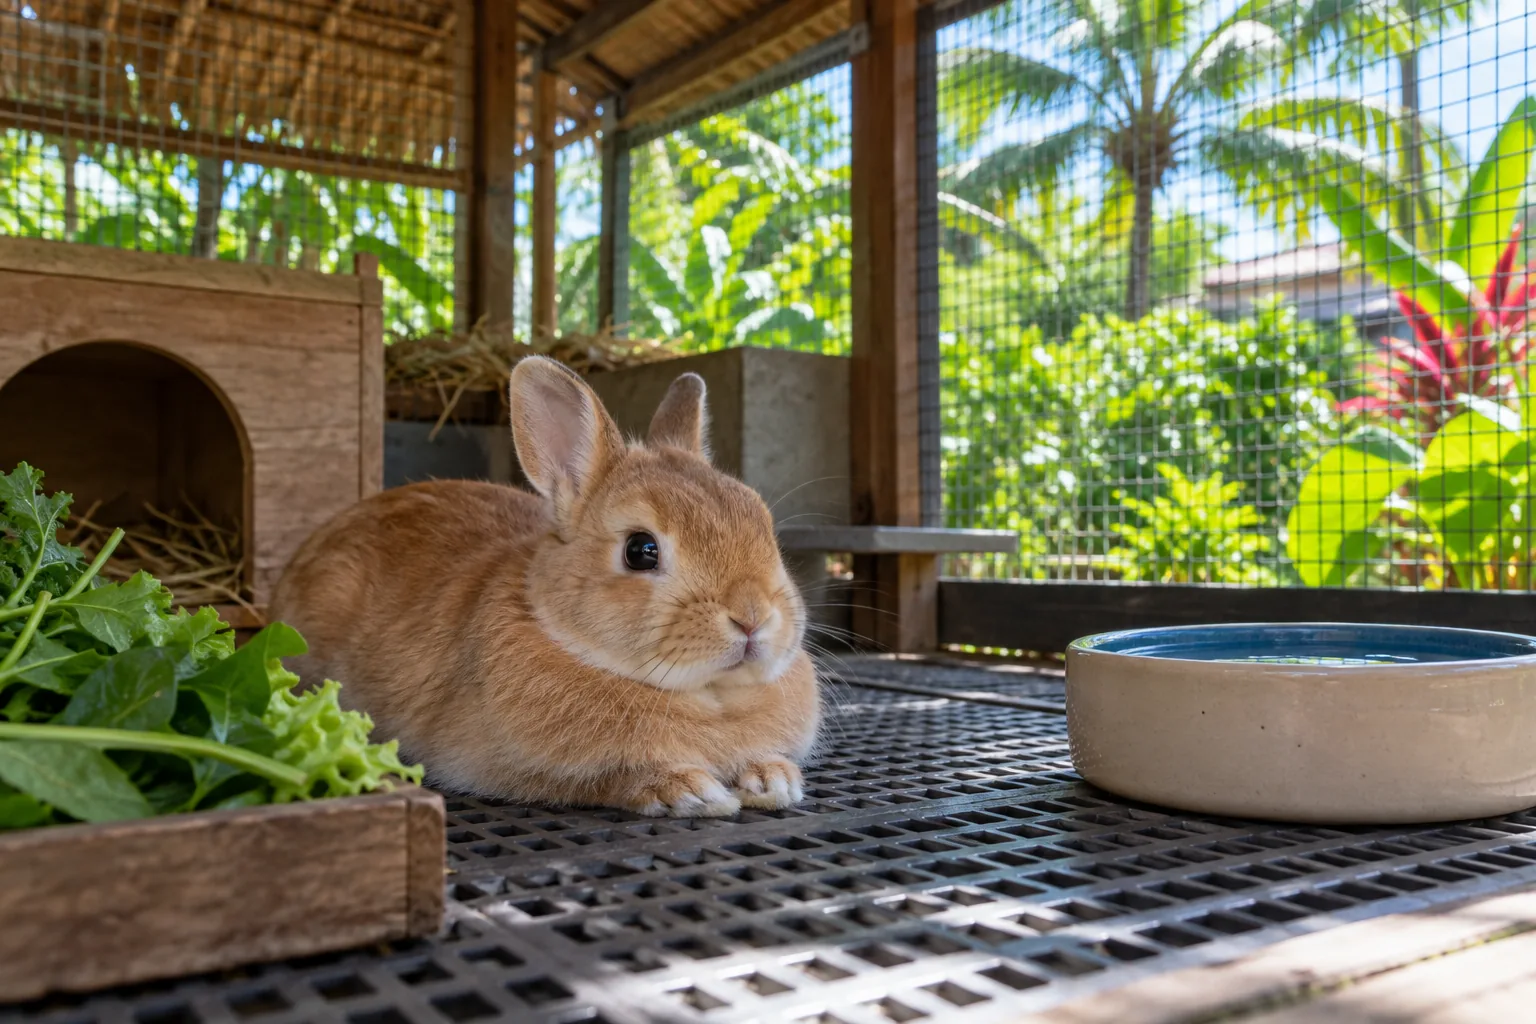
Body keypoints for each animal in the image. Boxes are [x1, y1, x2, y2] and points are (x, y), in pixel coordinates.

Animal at [269, 356, 821, 817]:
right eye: (640, 550)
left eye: (762, 523)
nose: (753, 617)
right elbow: (609, 780)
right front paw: (690, 791)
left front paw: (774, 779)